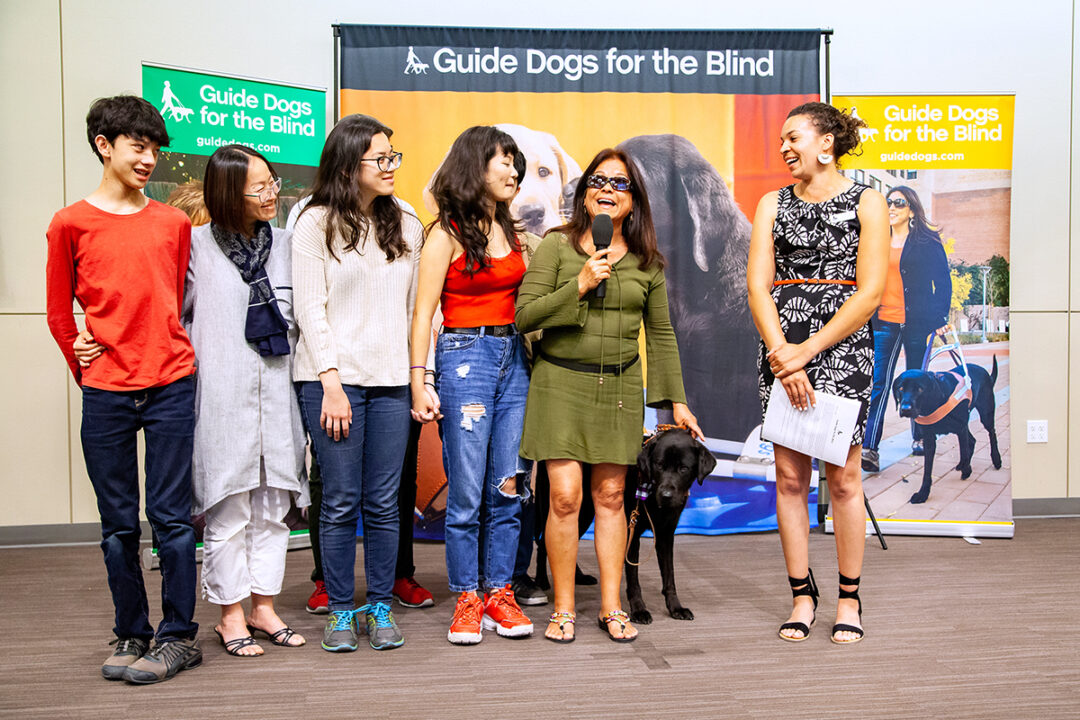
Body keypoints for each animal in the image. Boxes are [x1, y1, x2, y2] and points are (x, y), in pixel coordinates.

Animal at [626, 427, 717, 626]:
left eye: (683, 468)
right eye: (659, 465)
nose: (666, 495)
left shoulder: (666, 534)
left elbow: (669, 575)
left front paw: (676, 608)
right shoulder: (631, 533)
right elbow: (633, 576)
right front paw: (639, 609)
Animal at [894, 356, 1002, 505]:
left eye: (920, 389)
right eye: (901, 388)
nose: (905, 409)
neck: (935, 401)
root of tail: (984, 371)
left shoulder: (961, 428)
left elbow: (964, 451)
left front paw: (967, 470)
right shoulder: (929, 439)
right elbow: (927, 470)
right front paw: (923, 493)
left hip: (986, 414)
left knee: (991, 433)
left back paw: (996, 459)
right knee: (972, 441)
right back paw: (962, 464)